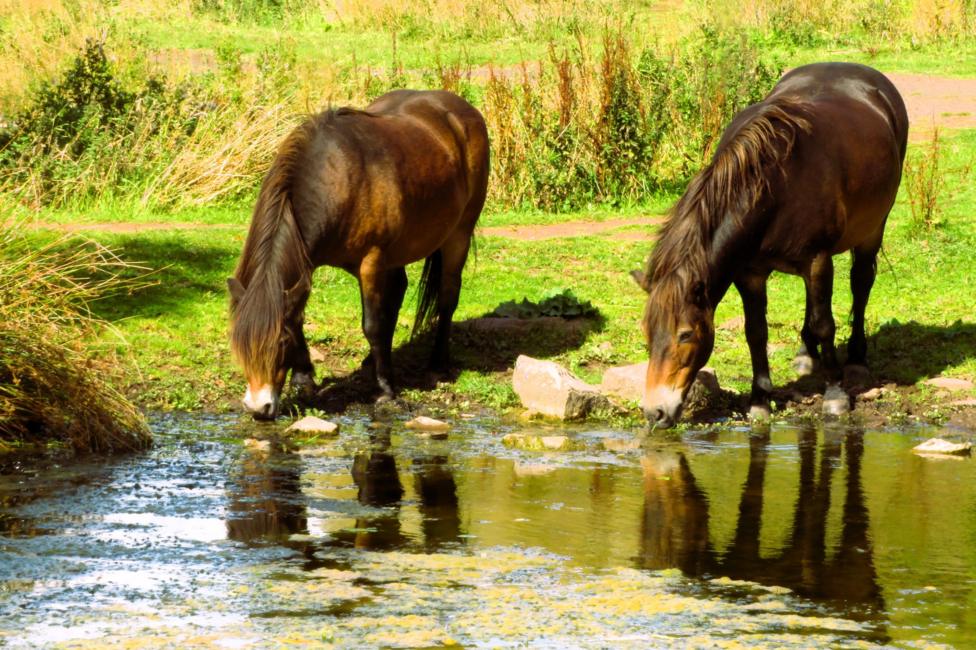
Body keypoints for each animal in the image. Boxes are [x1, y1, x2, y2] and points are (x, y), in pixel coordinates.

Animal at [228, 90, 490, 420]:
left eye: (281, 342)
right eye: (238, 342)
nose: (259, 407)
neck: (337, 177)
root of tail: (463, 110)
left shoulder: (371, 262)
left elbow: (372, 325)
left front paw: (386, 391)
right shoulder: (307, 265)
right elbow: (299, 316)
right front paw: (304, 378)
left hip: (458, 235)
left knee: (447, 296)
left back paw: (437, 364)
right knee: (399, 290)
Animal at [634, 62, 908, 428]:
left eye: (686, 334)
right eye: (648, 333)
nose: (656, 412)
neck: (773, 187)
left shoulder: (817, 259)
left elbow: (825, 324)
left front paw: (835, 395)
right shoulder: (750, 273)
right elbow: (756, 332)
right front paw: (760, 398)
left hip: (872, 229)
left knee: (861, 284)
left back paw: (856, 358)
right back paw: (806, 354)